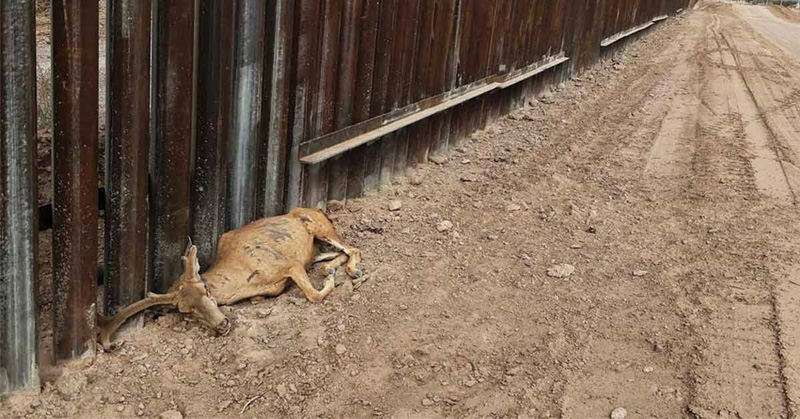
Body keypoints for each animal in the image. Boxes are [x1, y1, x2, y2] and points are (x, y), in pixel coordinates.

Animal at [98, 207, 362, 350]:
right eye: (185, 311)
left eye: (206, 290)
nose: (221, 325)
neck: (244, 279)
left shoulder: (289, 264)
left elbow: (313, 295)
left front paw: (330, 281)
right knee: (336, 253)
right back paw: (333, 268)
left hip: (322, 228)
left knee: (353, 248)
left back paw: (350, 272)